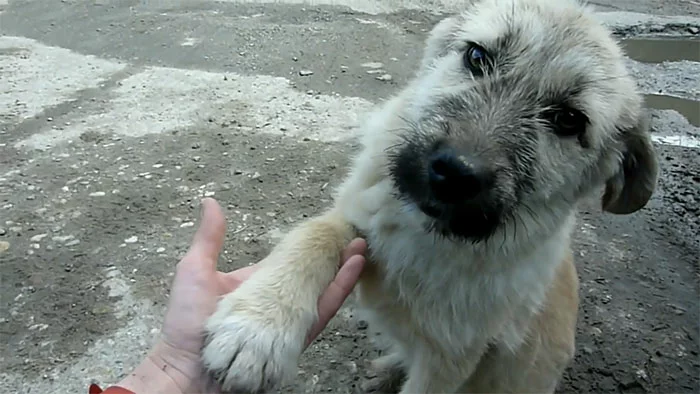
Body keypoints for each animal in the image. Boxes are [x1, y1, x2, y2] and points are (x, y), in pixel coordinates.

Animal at [201, 0, 656, 392]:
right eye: (477, 57)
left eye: (568, 120)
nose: (454, 173)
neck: (428, 237)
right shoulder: (360, 215)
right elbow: (312, 235)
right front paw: (257, 326)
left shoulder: (451, 358)